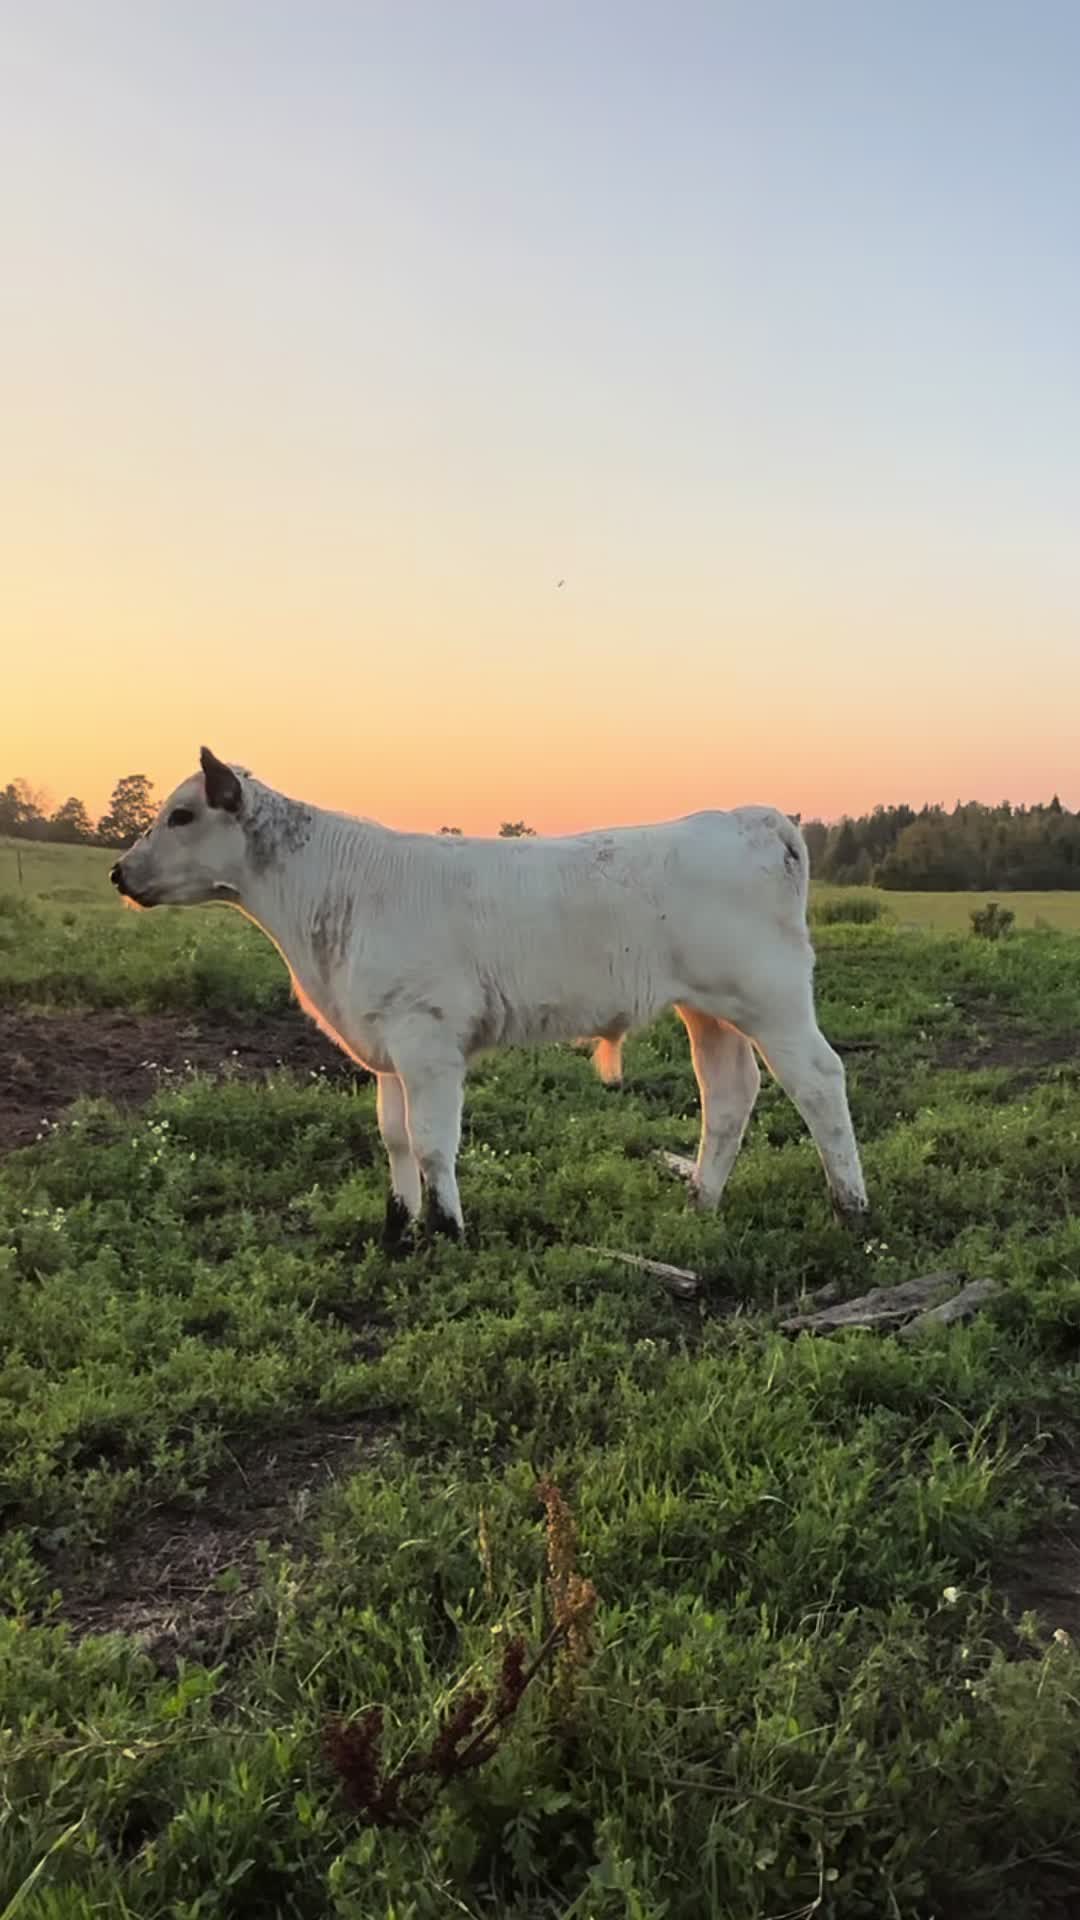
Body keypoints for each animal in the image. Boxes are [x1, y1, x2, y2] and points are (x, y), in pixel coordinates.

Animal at [111, 747, 867, 1246]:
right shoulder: (385, 1041)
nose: (118, 871)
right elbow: (393, 1137)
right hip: (709, 1008)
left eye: (181, 815)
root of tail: (754, 816)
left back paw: (851, 1207)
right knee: (729, 1092)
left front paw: (448, 1231)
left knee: (819, 1080)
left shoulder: (427, 1038)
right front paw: (397, 1228)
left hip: (773, 997)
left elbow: (431, 1142)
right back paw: (700, 1203)